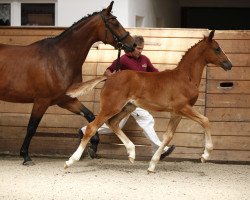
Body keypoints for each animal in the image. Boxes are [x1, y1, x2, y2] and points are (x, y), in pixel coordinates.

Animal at [64, 29, 232, 172]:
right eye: (217, 49)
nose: (229, 64)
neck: (185, 78)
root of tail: (109, 76)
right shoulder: (183, 108)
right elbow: (205, 121)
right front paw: (205, 155)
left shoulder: (177, 113)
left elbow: (168, 136)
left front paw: (152, 164)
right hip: (111, 107)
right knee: (92, 127)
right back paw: (70, 161)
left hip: (127, 107)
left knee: (113, 123)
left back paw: (131, 153)